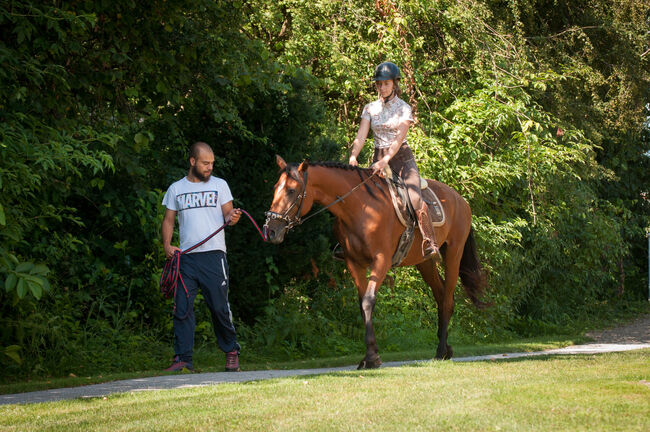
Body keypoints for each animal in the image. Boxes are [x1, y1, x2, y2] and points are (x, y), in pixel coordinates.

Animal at [264, 155, 486, 368]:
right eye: (275, 188)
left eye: (291, 190)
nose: (271, 230)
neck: (360, 207)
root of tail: (461, 200)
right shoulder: (354, 262)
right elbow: (362, 303)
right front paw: (370, 354)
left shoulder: (381, 260)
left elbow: (369, 300)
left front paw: (371, 358)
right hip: (425, 262)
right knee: (440, 296)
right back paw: (446, 348)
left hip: (453, 254)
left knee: (448, 299)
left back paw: (440, 351)